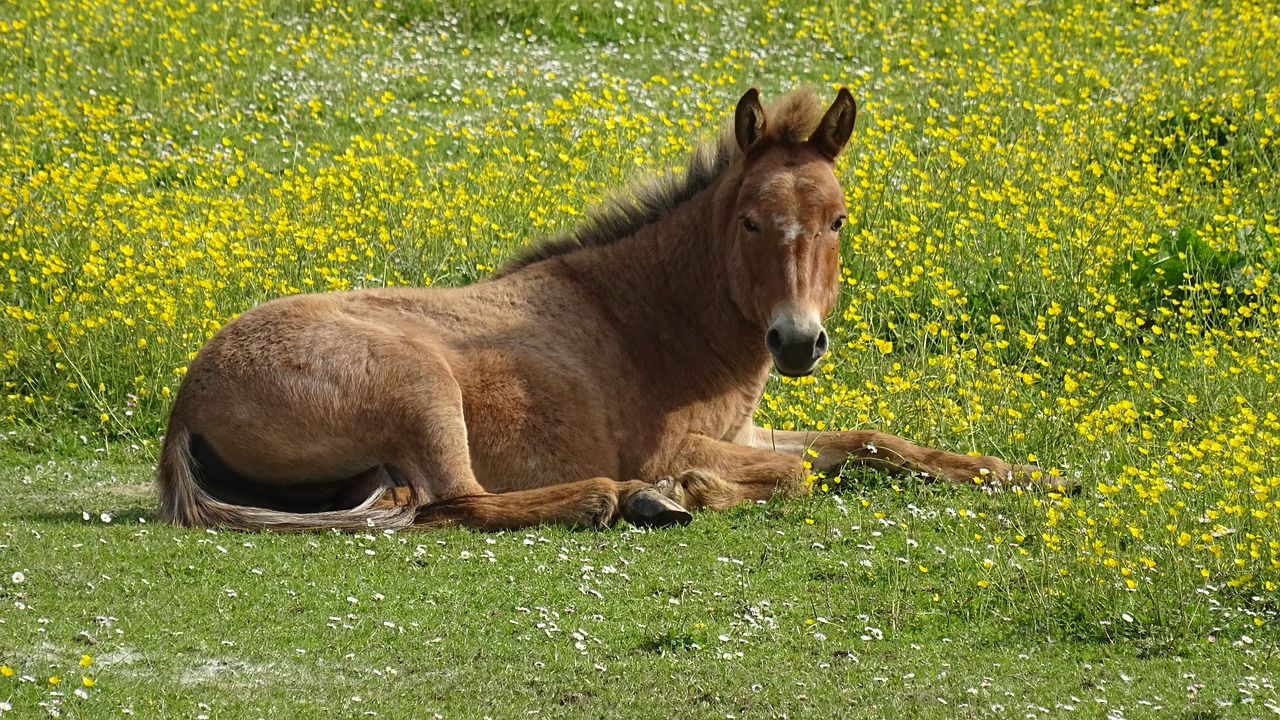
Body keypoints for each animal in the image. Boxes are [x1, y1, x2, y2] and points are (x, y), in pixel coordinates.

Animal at [157, 87, 1059, 530]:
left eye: (839, 220)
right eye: (750, 220)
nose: (798, 343)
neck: (653, 316)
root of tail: (186, 400)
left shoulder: (749, 431)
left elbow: (873, 440)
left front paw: (1031, 474)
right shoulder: (685, 442)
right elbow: (800, 474)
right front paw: (690, 491)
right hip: (422, 392)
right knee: (457, 503)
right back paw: (623, 500)